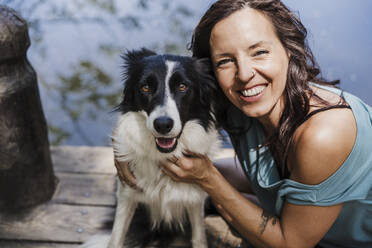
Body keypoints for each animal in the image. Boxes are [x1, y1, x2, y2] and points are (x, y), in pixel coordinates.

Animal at [82, 49, 221, 248]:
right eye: (145, 87)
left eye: (182, 87)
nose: (163, 125)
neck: (163, 156)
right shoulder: (127, 194)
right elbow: (116, 238)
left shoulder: (195, 198)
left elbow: (199, 238)